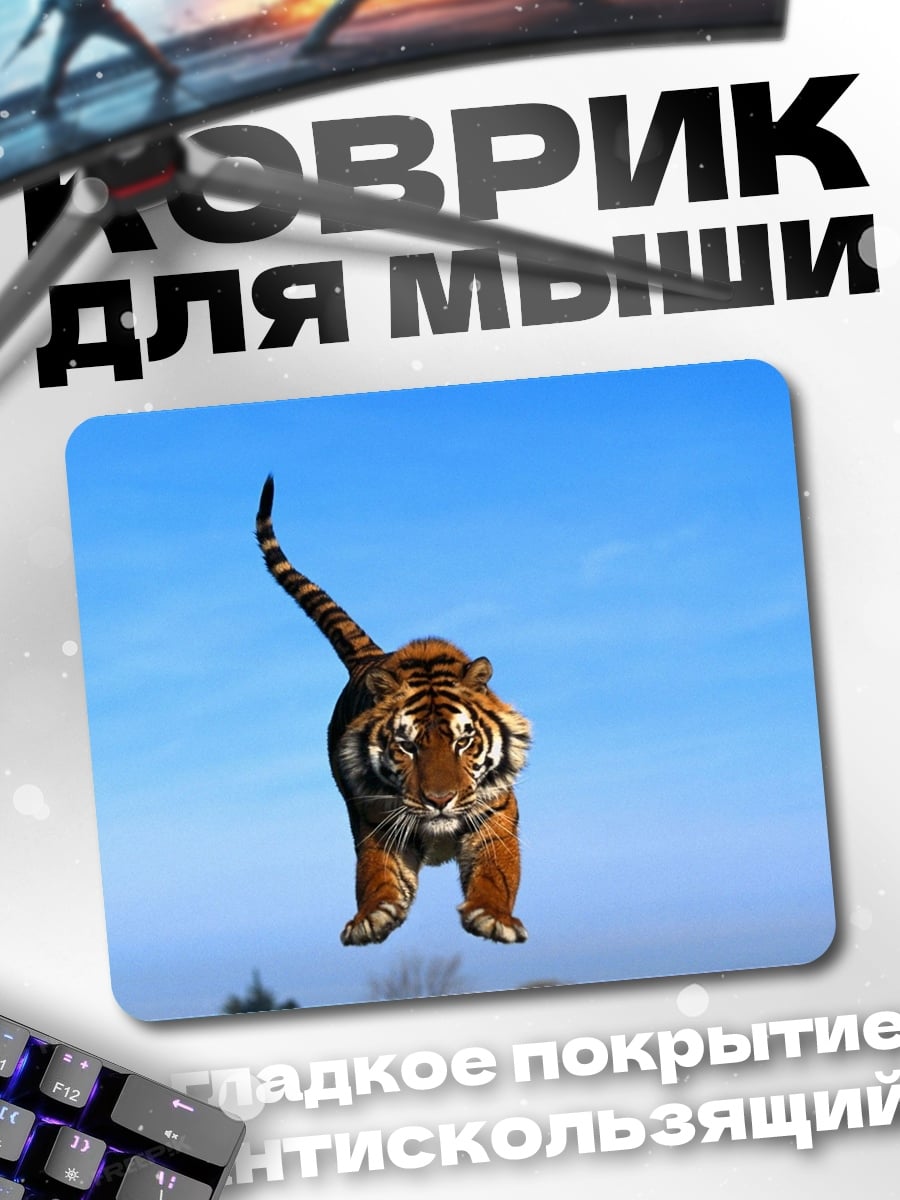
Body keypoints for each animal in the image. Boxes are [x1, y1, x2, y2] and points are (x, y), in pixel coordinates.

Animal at [255, 475, 532, 946]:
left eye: (464, 742)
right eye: (406, 746)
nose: (439, 801)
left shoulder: (494, 816)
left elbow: (496, 873)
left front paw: (492, 917)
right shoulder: (376, 821)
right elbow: (377, 874)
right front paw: (372, 917)